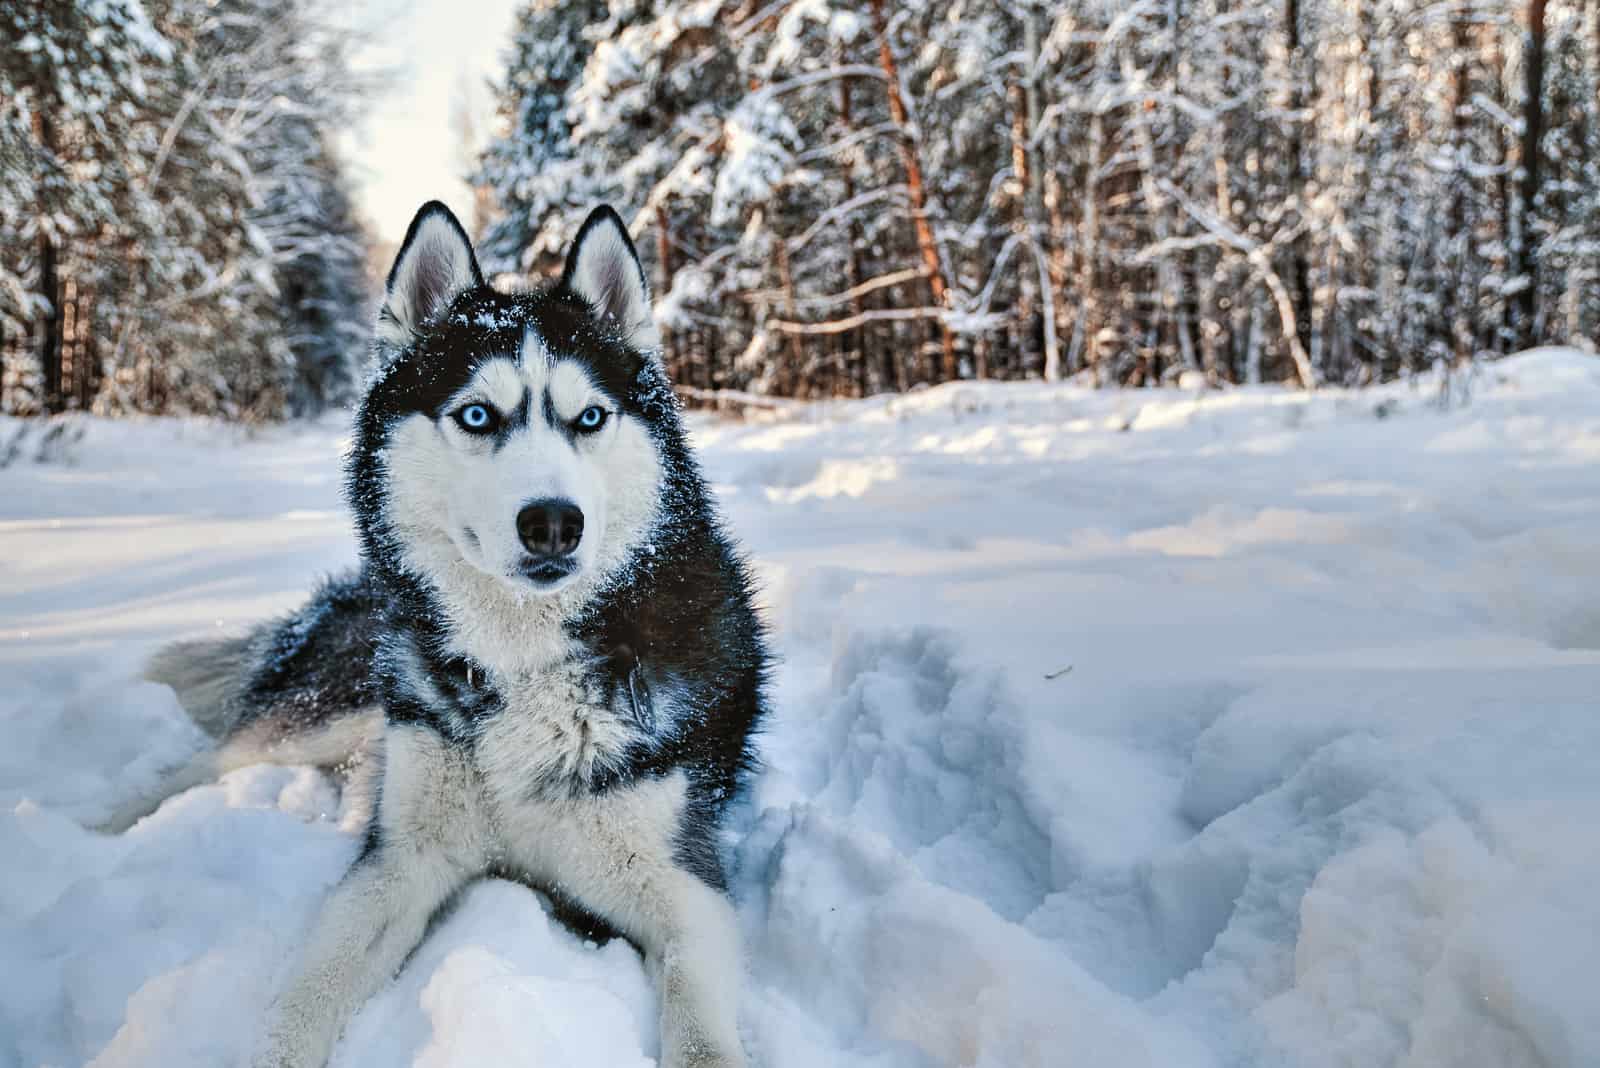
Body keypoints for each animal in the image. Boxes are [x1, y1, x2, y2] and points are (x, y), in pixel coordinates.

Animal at [106, 202, 768, 1068]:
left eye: (589, 417)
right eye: (478, 415)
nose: (552, 522)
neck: (525, 663)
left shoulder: (685, 885)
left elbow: (700, 1033)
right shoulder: (399, 861)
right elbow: (306, 995)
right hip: (341, 707)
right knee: (207, 760)